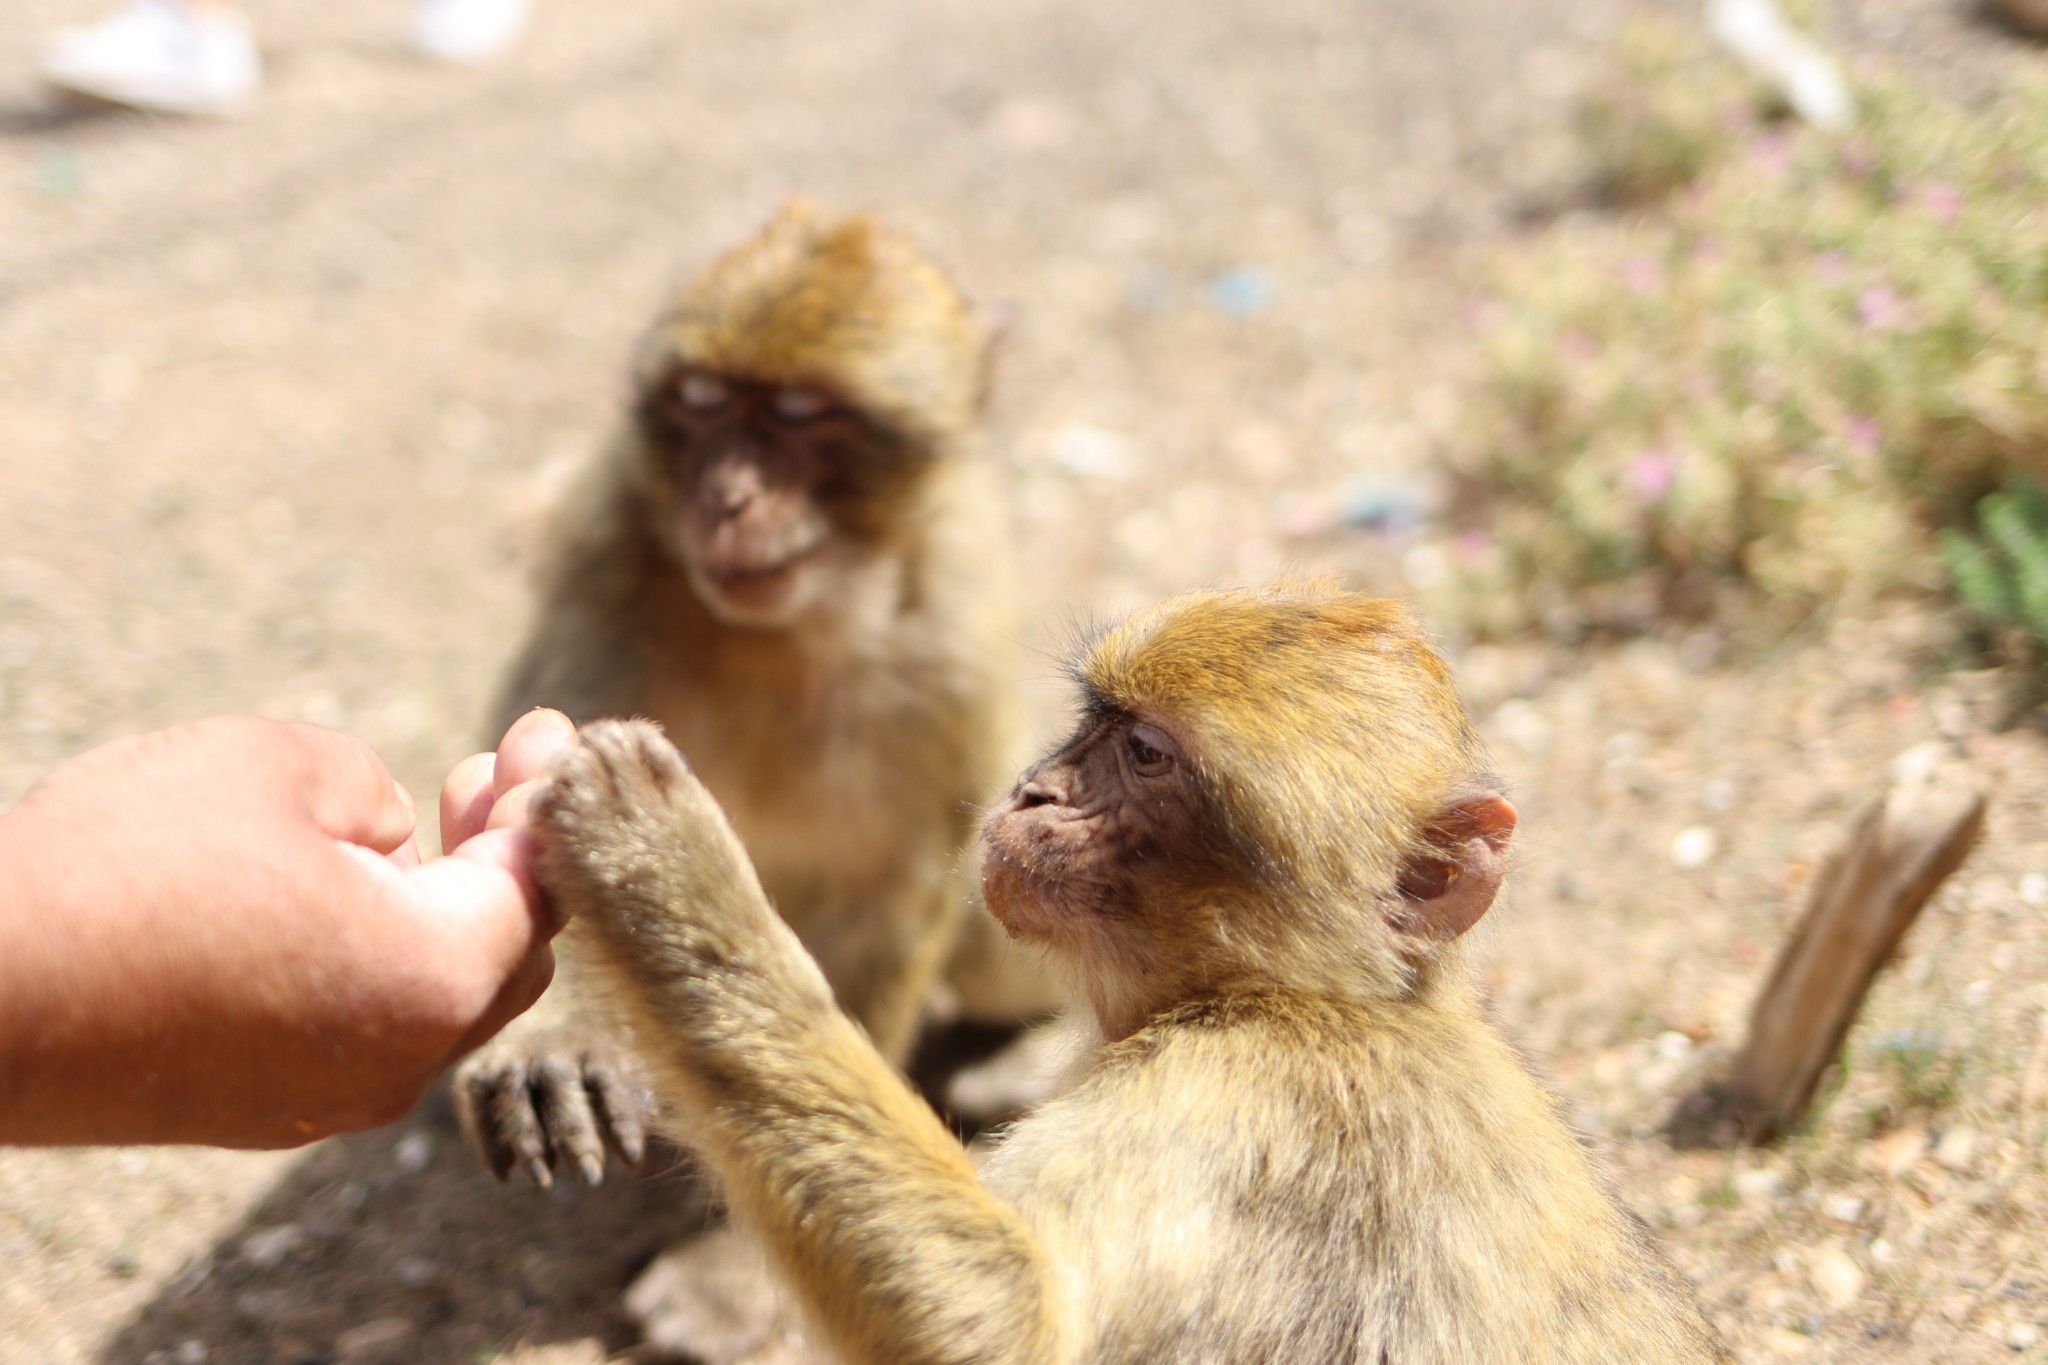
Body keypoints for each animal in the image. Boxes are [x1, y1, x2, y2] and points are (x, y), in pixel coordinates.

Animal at [452, 202, 1056, 1195]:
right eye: (700, 400)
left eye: (804, 414)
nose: (725, 498)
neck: (791, 627)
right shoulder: (602, 557)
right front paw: (553, 1033)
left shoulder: (956, 643)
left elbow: (898, 884)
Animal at [528, 581, 1728, 1365]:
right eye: (1094, 722)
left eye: (1145, 755)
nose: (1032, 793)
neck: (1304, 996)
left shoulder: (1235, 1100)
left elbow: (1007, 1324)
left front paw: (665, 867)